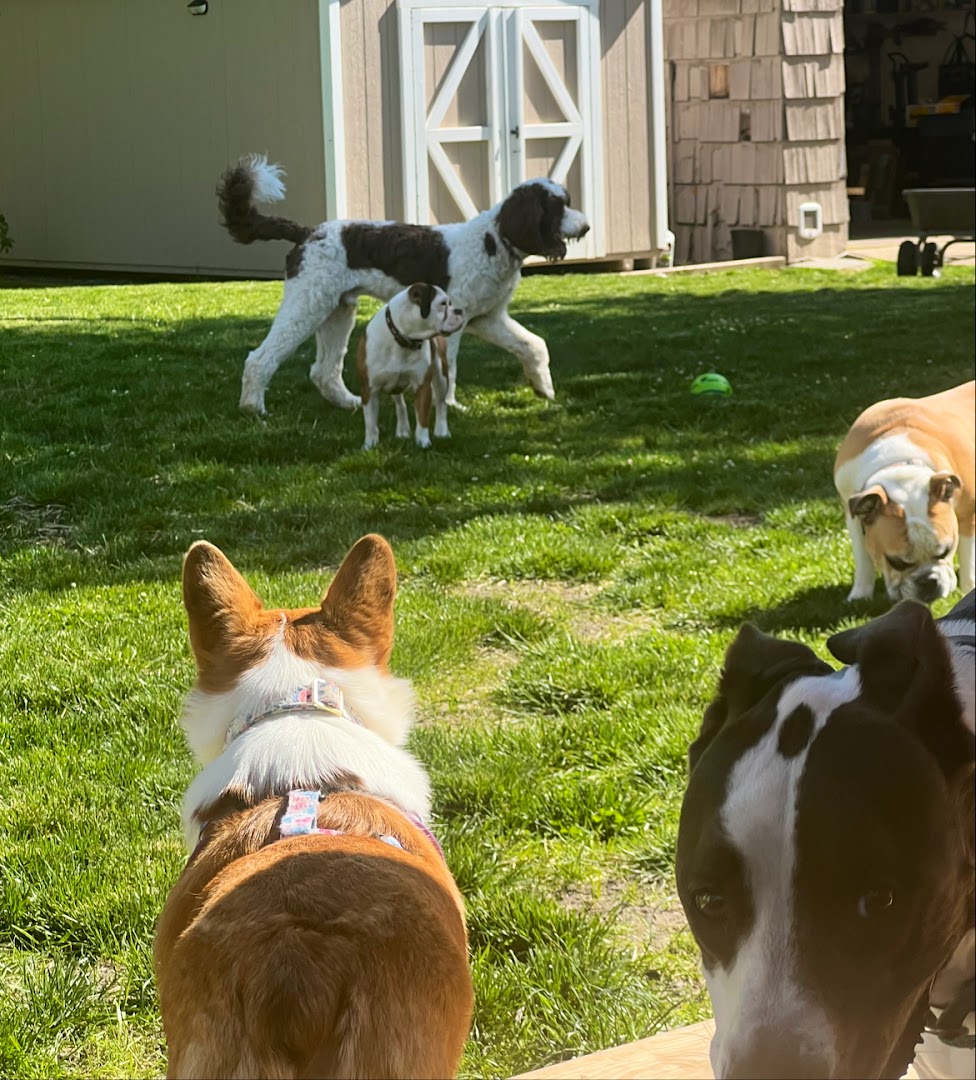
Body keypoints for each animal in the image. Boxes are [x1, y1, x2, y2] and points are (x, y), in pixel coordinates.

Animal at [217, 154, 591, 414]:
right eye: (557, 207)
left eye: (567, 201)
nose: (587, 227)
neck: (494, 240)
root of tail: (307, 232)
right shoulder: (453, 324)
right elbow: (449, 370)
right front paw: (451, 408)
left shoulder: (487, 318)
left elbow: (534, 345)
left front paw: (543, 388)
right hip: (306, 306)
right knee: (260, 359)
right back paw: (253, 409)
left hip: (336, 310)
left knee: (323, 371)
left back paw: (350, 404)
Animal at [358, 285, 464, 449]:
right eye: (442, 304)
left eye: (450, 304)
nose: (459, 310)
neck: (403, 338)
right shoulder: (369, 390)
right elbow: (370, 422)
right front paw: (369, 445)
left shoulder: (422, 386)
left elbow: (422, 417)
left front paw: (423, 442)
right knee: (400, 403)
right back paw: (403, 430)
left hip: (441, 376)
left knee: (441, 403)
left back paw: (442, 432)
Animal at [833, 382, 971, 604]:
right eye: (897, 563)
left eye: (945, 552)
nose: (929, 581)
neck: (898, 464)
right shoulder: (852, 515)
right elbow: (862, 557)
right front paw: (860, 594)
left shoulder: (967, 516)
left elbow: (968, 562)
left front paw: (968, 591)